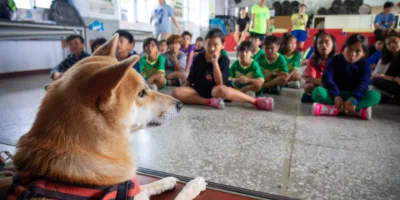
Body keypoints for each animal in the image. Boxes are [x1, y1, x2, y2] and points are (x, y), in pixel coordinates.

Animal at [6, 34, 206, 200]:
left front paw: (165, 181)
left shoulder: (130, 188)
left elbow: (145, 186)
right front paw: (193, 185)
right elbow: (180, 196)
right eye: (142, 93)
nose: (180, 104)